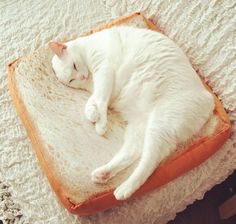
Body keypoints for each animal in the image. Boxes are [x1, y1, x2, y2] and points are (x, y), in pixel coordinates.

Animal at [48, 25, 215, 200]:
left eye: (74, 65)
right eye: (71, 80)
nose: (83, 76)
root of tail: (209, 100)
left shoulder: (105, 72)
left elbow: (100, 99)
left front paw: (100, 124)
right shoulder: (102, 88)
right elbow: (94, 100)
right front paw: (92, 114)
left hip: (161, 124)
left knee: (150, 161)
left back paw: (124, 189)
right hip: (140, 128)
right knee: (133, 152)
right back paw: (104, 173)